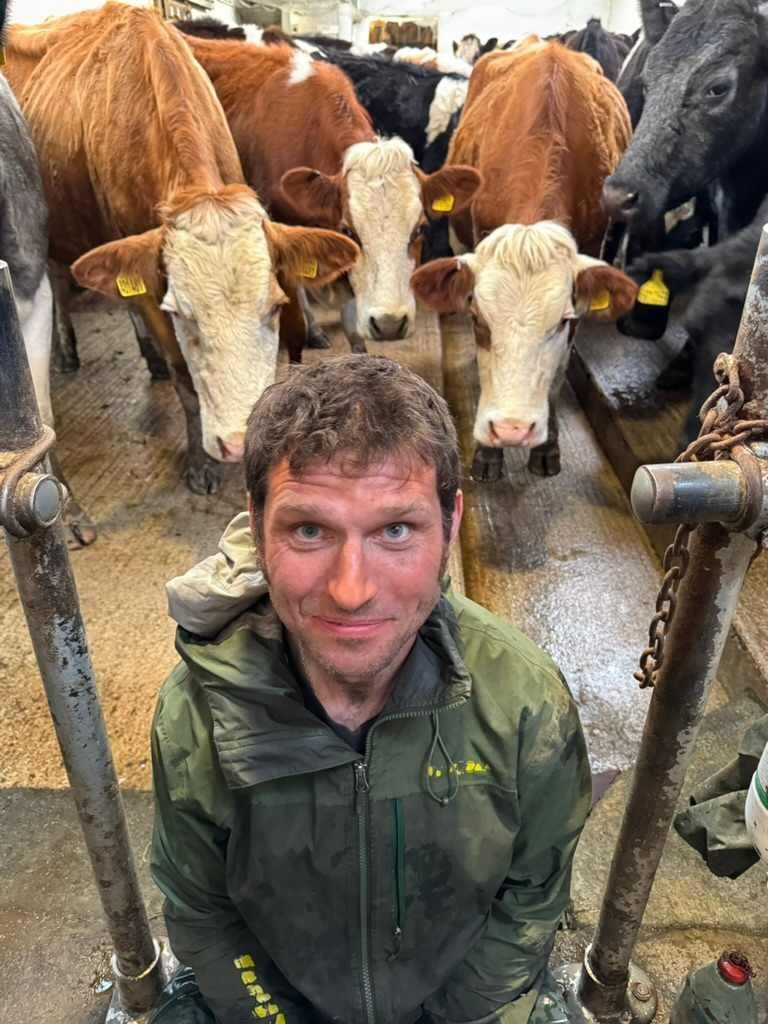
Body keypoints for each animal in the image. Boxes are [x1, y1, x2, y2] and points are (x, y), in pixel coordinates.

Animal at [5, 4, 358, 503]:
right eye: (181, 313)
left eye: (275, 305)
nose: (236, 441)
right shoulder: (153, 292)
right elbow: (185, 378)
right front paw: (200, 464)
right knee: (55, 275)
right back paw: (69, 351)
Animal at [411, 42, 638, 481]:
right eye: (478, 318)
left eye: (561, 322)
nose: (512, 429)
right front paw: (487, 452)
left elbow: (557, 374)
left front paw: (546, 447)